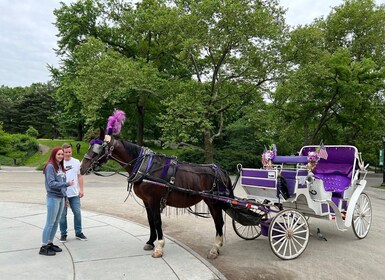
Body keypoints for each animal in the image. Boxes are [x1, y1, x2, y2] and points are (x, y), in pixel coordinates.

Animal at [79, 128, 232, 260]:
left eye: (97, 149)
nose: (82, 168)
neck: (145, 167)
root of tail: (220, 170)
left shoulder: (154, 200)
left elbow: (158, 221)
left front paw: (159, 247)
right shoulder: (146, 201)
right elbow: (150, 220)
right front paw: (150, 242)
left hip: (212, 202)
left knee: (219, 221)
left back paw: (215, 248)